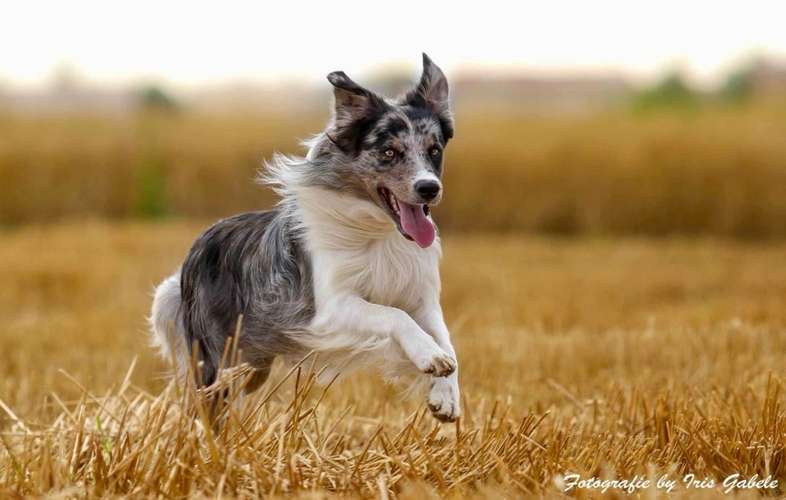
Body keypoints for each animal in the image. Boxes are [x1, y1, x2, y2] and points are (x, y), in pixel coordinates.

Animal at [150, 53, 460, 422]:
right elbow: (393, 316)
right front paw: (429, 357)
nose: (429, 188)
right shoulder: (331, 308)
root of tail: (196, 248)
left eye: (435, 150)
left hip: (253, 364)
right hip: (214, 354)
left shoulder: (421, 299)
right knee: (205, 405)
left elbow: (445, 338)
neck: (377, 232)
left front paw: (446, 395)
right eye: (389, 152)